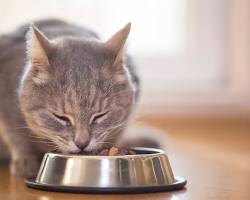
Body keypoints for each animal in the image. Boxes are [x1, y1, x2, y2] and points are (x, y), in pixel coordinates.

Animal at [0, 19, 140, 178]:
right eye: (61, 117)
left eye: (100, 116)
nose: (82, 144)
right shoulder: (6, 105)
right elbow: (16, 136)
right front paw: (25, 161)